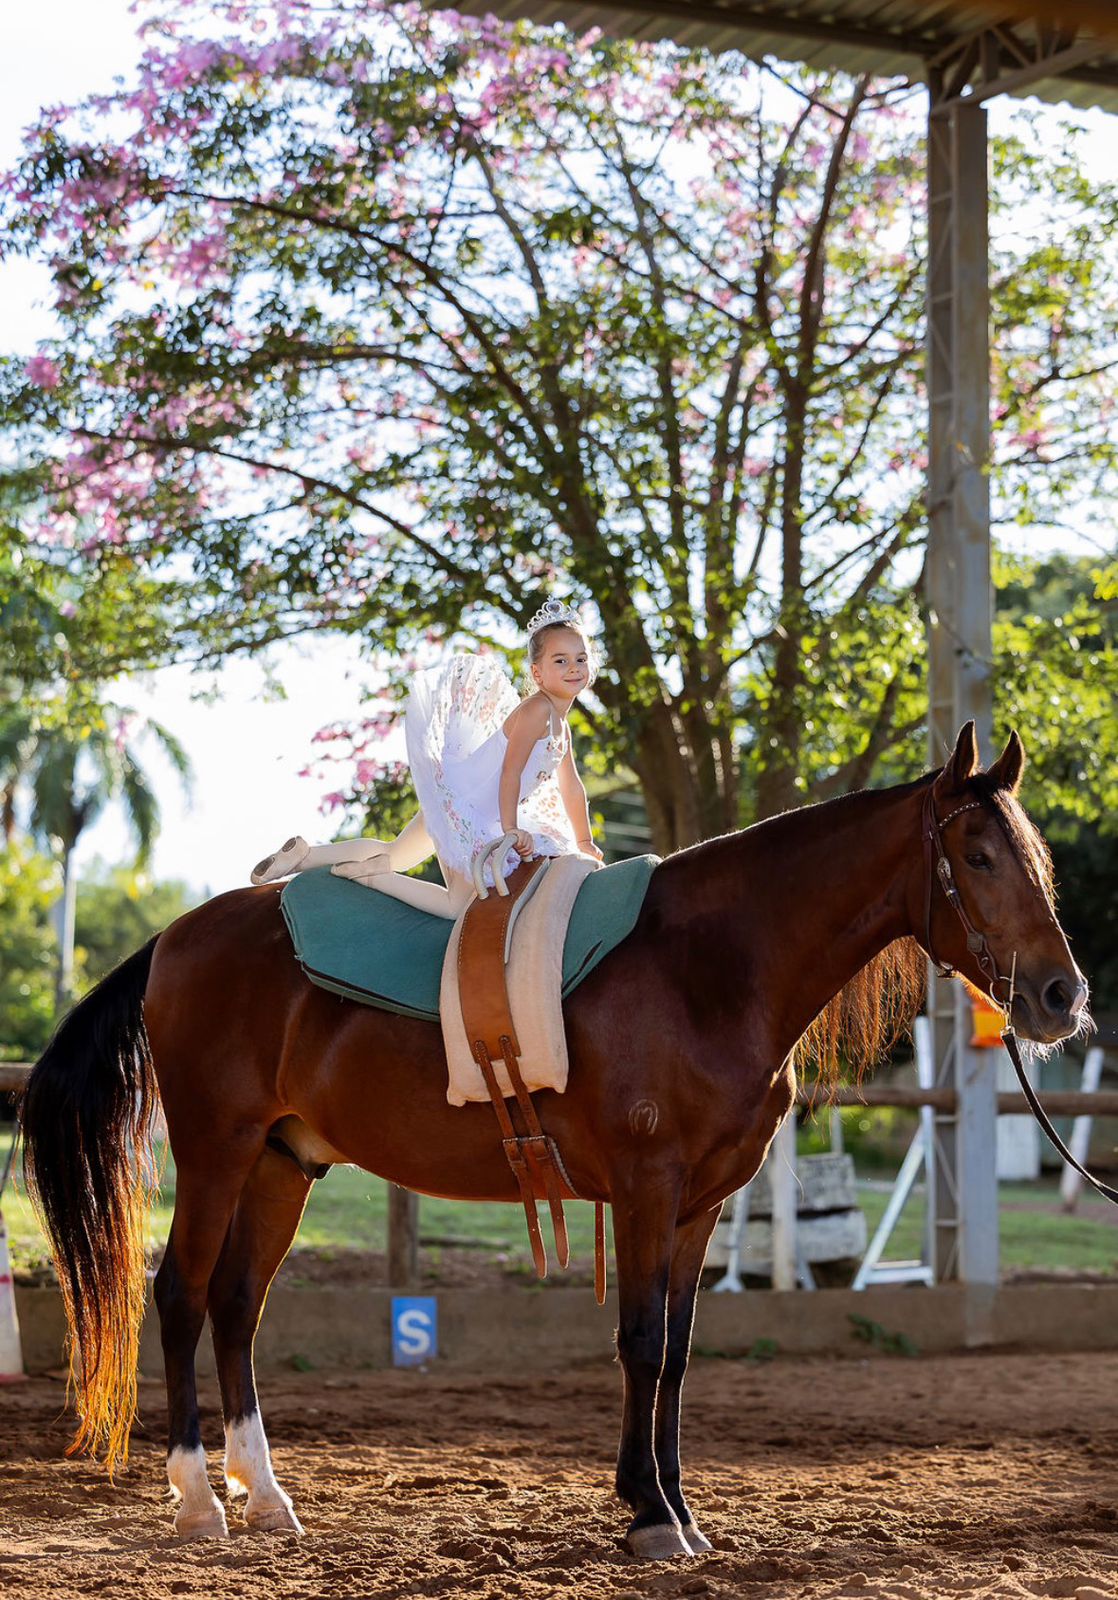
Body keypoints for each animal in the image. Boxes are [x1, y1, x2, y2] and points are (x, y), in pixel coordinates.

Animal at [21, 722, 1088, 1560]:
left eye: (1036, 859)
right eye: (979, 858)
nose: (1060, 996)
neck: (707, 969)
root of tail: (178, 937)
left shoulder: (699, 1209)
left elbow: (679, 1353)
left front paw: (675, 1507)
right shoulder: (649, 1191)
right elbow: (641, 1341)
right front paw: (651, 1517)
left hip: (284, 1163)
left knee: (239, 1304)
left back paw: (267, 1495)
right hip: (217, 1151)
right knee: (181, 1295)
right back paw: (200, 1497)